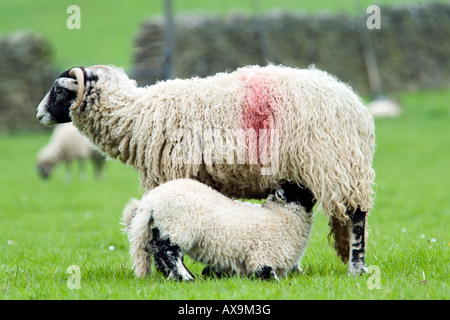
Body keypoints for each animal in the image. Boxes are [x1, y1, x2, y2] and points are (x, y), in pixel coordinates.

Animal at [121, 179, 314, 282]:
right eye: (300, 188)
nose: (315, 195)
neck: (280, 218)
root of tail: (152, 199)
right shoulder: (260, 257)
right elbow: (268, 275)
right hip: (179, 226)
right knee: (167, 249)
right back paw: (186, 278)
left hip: (166, 225)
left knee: (155, 243)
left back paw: (173, 275)